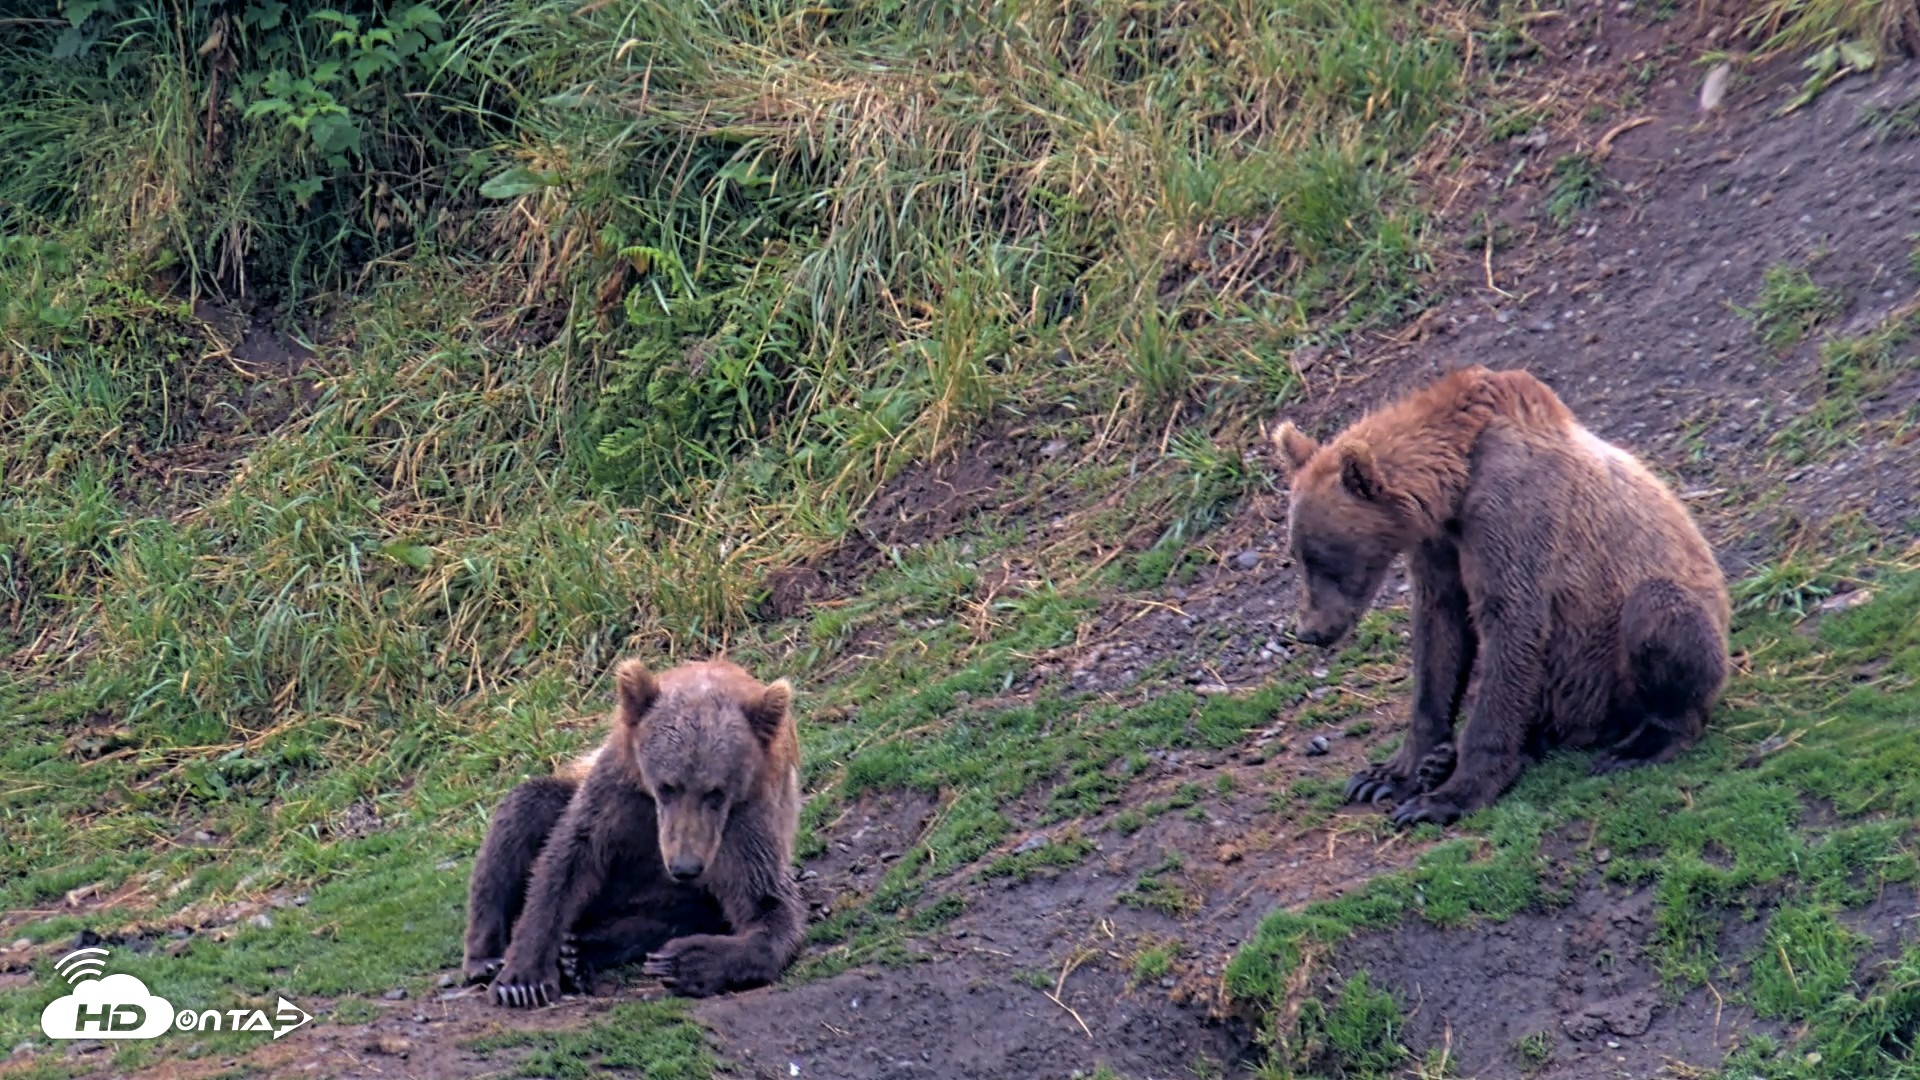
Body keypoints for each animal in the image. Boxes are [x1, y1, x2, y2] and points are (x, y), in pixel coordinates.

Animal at [461, 657, 805, 1005]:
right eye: (667, 786)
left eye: (716, 793)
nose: (684, 867)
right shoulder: (618, 794)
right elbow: (566, 862)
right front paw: (523, 981)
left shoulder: (744, 822)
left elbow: (767, 906)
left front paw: (683, 962)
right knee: (522, 815)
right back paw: (487, 958)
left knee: (676, 915)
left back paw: (577, 954)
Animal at [1269, 365, 1730, 827]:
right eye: (1298, 556)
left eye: (1325, 558)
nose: (1309, 631)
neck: (1455, 482)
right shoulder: (1440, 545)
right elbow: (1439, 637)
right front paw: (1385, 775)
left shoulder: (1514, 511)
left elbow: (1511, 624)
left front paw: (1445, 798)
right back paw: (1442, 760)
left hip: (1616, 665)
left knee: (1658, 613)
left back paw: (1640, 744)